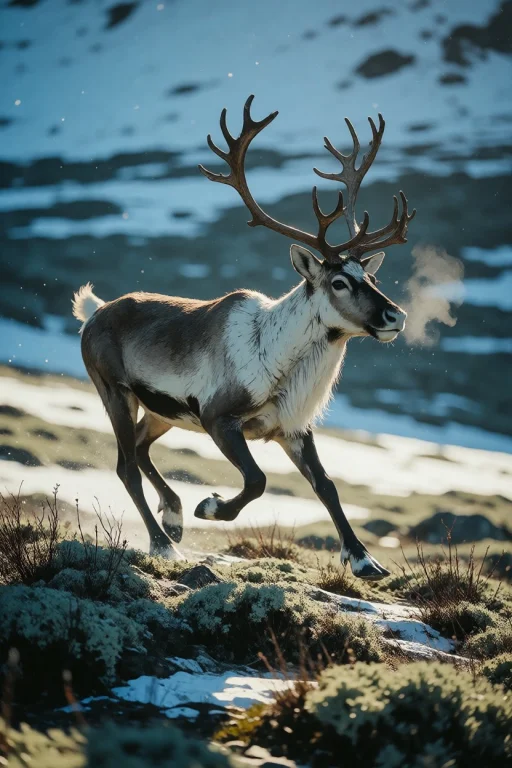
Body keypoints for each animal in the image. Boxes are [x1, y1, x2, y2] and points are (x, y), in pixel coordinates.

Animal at [72, 95, 415, 580]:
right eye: (339, 282)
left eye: (370, 276)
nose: (395, 315)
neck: (282, 360)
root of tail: (94, 312)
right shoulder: (219, 418)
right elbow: (257, 480)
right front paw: (211, 506)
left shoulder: (293, 427)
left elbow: (326, 485)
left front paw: (365, 559)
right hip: (115, 392)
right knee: (126, 466)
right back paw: (164, 543)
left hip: (162, 411)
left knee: (139, 448)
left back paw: (173, 516)